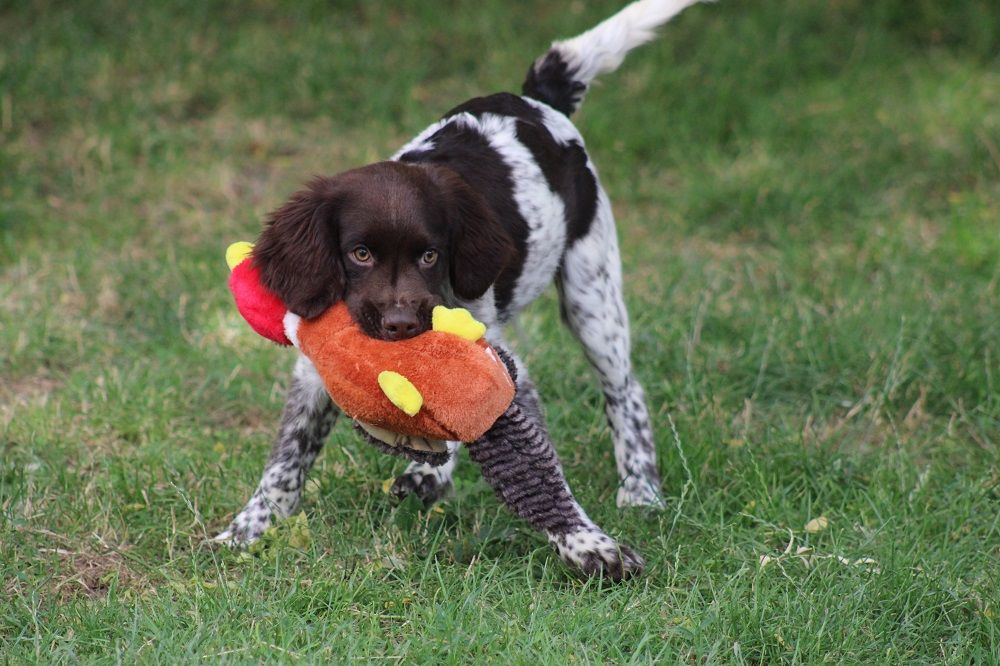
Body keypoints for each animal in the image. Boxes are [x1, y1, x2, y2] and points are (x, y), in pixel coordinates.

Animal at [216, 0, 708, 580]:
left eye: (431, 256)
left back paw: (640, 490)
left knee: (624, 392)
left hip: (592, 291)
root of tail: (535, 99)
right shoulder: (315, 367)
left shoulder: (495, 357)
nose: (402, 325)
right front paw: (246, 531)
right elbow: (287, 460)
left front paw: (588, 545)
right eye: (359, 254)